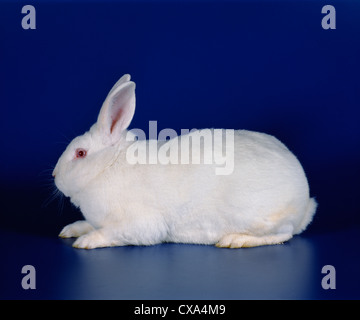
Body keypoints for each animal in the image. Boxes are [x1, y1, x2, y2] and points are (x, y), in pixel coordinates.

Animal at [52, 75, 316, 250]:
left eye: (80, 153)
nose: (54, 175)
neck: (108, 166)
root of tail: (305, 201)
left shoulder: (139, 224)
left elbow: (111, 233)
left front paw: (86, 241)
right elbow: (90, 224)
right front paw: (71, 230)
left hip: (262, 218)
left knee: (284, 234)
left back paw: (235, 240)